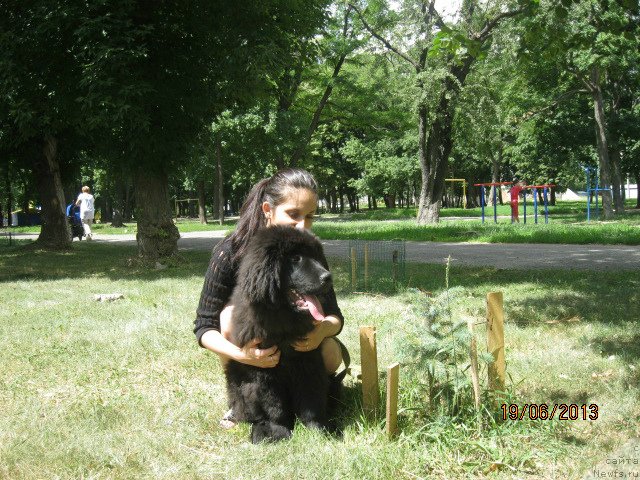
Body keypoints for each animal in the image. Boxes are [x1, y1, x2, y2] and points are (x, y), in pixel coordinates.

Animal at [225, 225, 336, 442]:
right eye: (295, 258)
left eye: (315, 257)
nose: (328, 277)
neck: (284, 321)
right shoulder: (264, 372)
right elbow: (274, 407)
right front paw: (279, 431)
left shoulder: (308, 362)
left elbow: (311, 400)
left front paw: (318, 429)